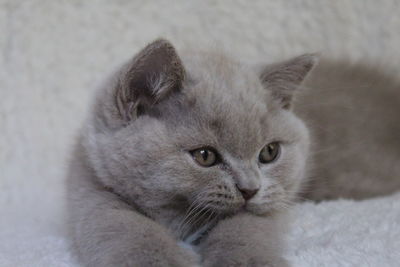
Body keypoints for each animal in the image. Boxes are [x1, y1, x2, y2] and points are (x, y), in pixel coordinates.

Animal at [66, 38, 316, 266]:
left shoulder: (270, 206)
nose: (250, 189)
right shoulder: (90, 186)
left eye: (269, 152)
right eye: (205, 155)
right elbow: (125, 225)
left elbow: (247, 227)